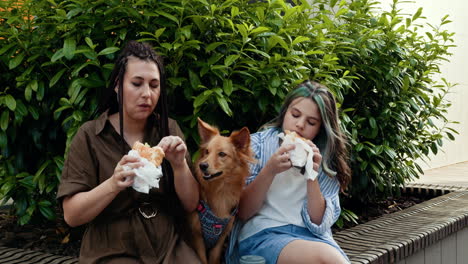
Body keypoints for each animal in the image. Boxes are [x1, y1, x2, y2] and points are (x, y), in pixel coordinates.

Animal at [187, 118, 256, 264]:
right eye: (207, 152)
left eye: (222, 154)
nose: (202, 165)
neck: (220, 191)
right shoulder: (197, 238)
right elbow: (202, 260)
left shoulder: (220, 239)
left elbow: (214, 259)